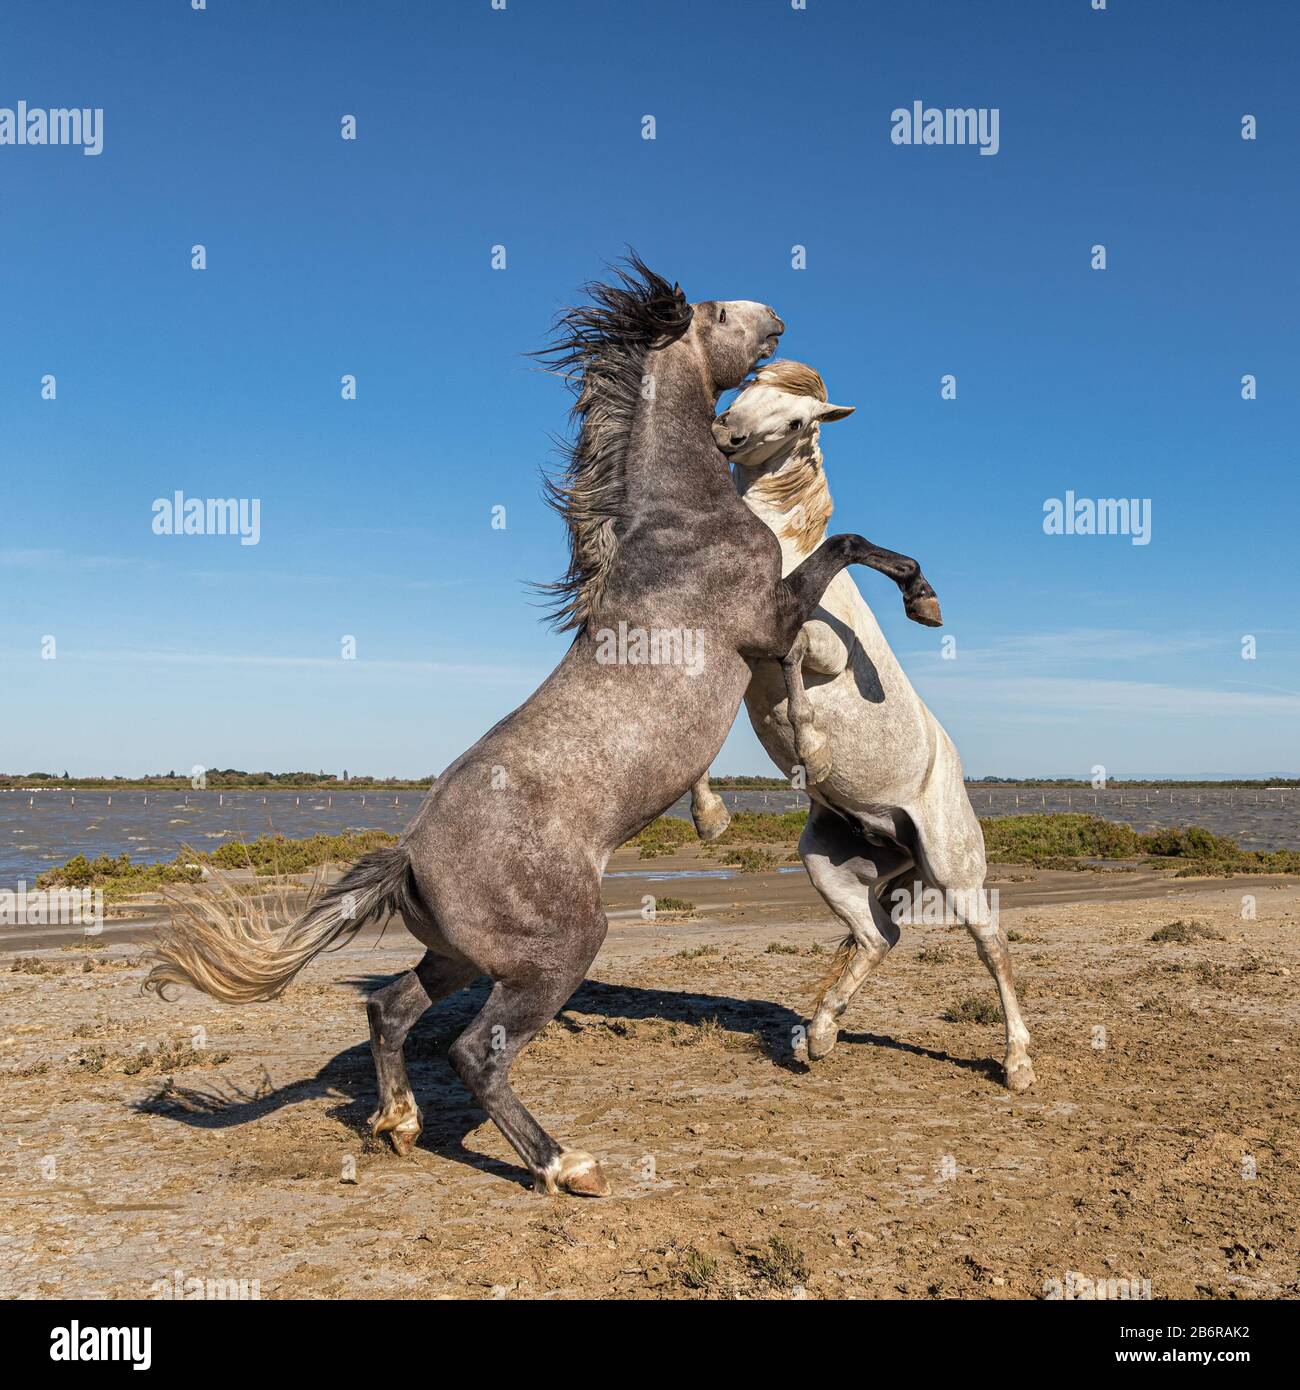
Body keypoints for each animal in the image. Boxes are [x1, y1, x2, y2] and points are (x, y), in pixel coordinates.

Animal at [147, 261, 945, 1195]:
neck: (678, 522)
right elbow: (846, 552)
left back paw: (399, 1124)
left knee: (390, 1008)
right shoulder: (767, 620)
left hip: (464, 956)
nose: (774, 313)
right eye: (715, 314)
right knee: (474, 1051)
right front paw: (922, 601)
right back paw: (566, 1164)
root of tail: (412, 854)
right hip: (559, 950)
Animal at [692, 361, 1034, 1095]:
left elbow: (797, 654)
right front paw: (711, 817)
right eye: (749, 384)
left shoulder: (820, 649)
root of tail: (901, 838)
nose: (726, 434)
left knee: (991, 944)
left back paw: (1019, 1063)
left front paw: (812, 749)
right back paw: (818, 1036)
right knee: (880, 936)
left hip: (954, 870)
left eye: (798, 420)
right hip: (829, 863)